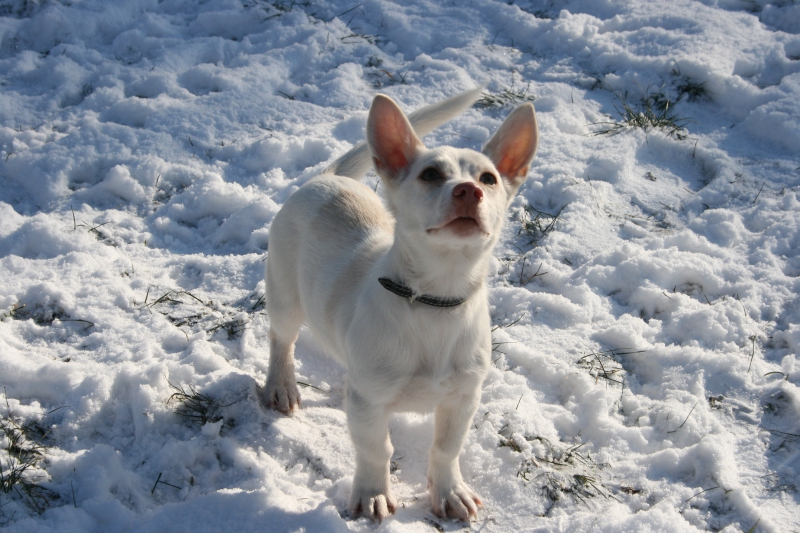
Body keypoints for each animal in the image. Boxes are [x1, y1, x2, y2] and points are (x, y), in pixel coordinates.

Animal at [259, 87, 538, 521]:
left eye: (488, 179)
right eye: (430, 175)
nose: (469, 191)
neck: (436, 298)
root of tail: (328, 179)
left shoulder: (464, 397)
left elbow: (446, 448)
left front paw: (449, 492)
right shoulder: (368, 400)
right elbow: (376, 448)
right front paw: (372, 493)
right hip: (285, 295)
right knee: (281, 339)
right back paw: (281, 385)